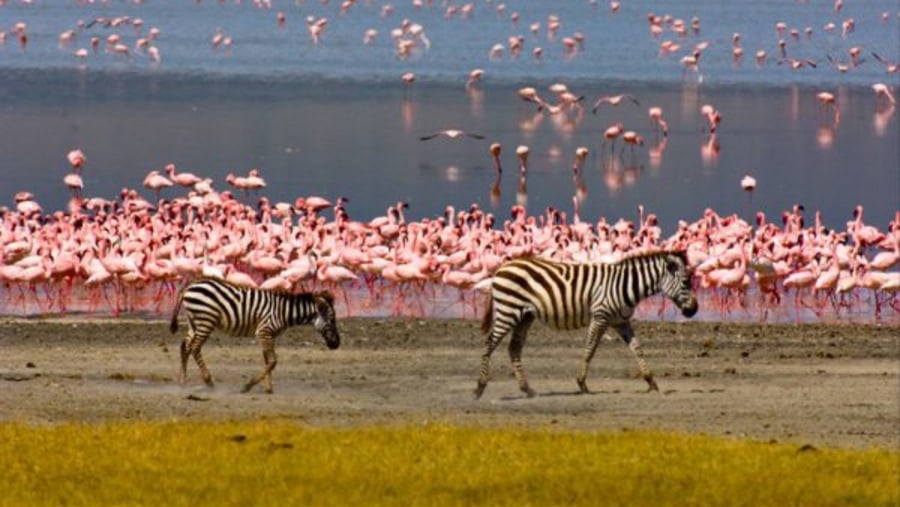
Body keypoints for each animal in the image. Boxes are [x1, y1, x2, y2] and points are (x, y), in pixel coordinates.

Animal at [169, 278, 342, 392]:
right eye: (332, 319)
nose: (337, 344)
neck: (283, 311)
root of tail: (189, 286)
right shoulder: (264, 332)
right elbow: (273, 361)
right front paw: (249, 385)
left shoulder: (268, 335)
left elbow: (267, 360)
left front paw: (268, 387)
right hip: (206, 320)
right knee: (195, 347)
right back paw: (208, 381)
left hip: (194, 322)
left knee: (185, 346)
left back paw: (182, 381)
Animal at [474, 250, 700, 400]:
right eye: (686, 282)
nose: (694, 310)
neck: (625, 286)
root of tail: (501, 268)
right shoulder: (600, 316)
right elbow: (590, 349)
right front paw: (582, 383)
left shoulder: (621, 321)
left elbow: (638, 348)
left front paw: (651, 381)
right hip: (508, 310)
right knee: (489, 343)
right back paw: (480, 387)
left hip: (524, 316)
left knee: (514, 348)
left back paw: (527, 389)